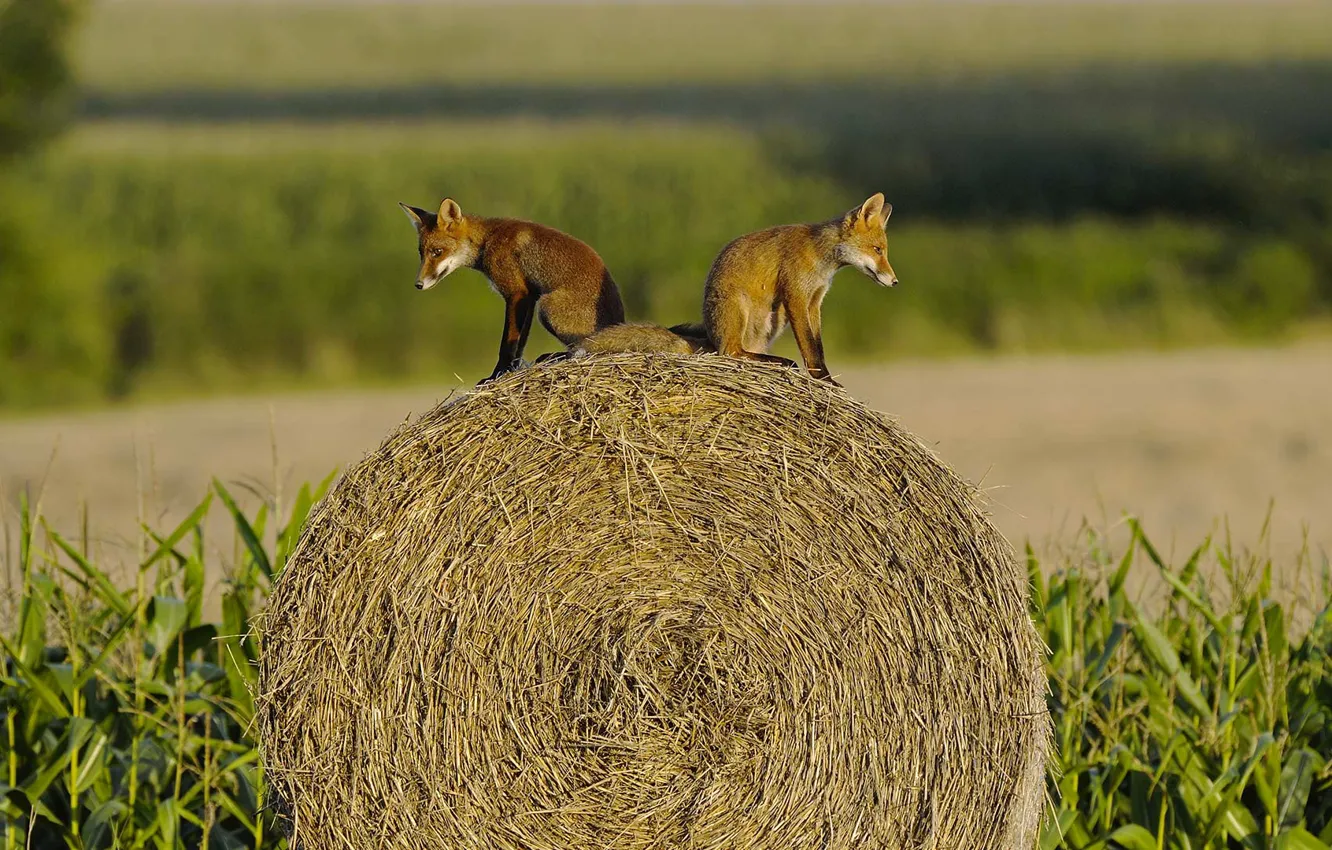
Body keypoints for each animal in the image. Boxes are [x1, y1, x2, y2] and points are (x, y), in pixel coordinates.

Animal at [399, 198, 626, 382]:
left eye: (437, 252)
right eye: (421, 253)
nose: (418, 284)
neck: (488, 240)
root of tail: (619, 321)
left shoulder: (517, 293)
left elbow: (507, 343)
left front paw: (496, 375)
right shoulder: (530, 297)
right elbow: (520, 343)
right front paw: (513, 369)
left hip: (547, 308)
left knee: (584, 346)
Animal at [702, 193, 898, 388]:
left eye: (883, 251)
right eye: (877, 249)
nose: (895, 281)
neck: (820, 259)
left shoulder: (814, 301)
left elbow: (818, 346)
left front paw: (825, 377)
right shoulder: (796, 296)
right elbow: (808, 344)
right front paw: (823, 378)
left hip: (775, 318)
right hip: (741, 309)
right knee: (731, 351)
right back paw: (780, 361)